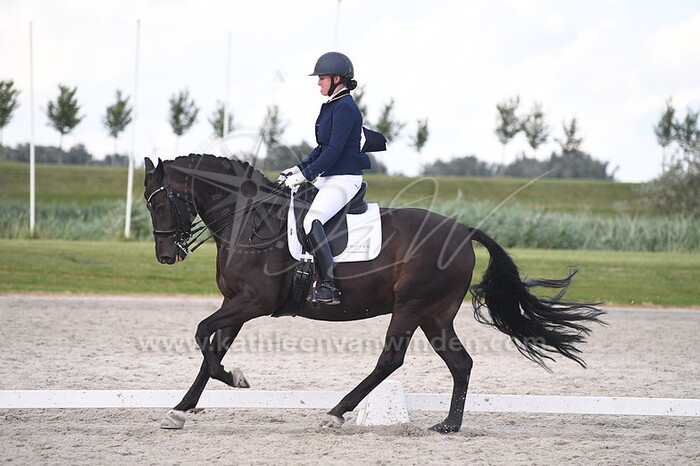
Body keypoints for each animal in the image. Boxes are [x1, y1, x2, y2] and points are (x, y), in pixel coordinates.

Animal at [143, 154, 605, 433]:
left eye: (160, 203)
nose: (166, 256)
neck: (247, 219)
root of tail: (462, 230)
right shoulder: (235, 303)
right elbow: (211, 347)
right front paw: (180, 410)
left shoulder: (253, 302)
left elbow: (203, 337)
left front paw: (235, 378)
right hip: (435, 314)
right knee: (460, 362)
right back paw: (448, 426)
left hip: (412, 307)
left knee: (391, 359)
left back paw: (336, 414)